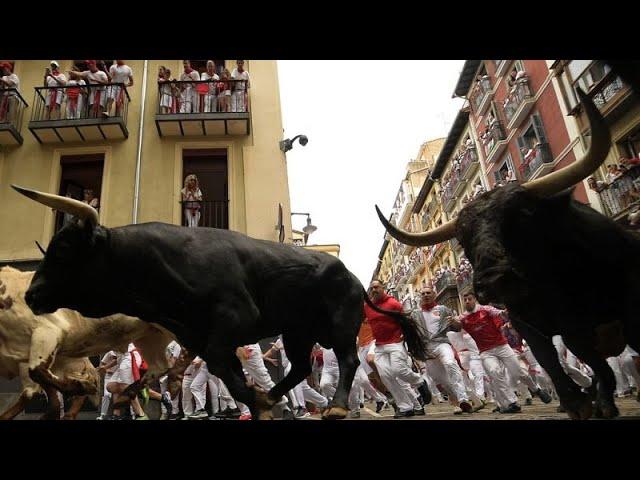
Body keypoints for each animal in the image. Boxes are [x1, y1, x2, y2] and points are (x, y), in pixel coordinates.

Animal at [7, 207, 428, 420]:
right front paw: (259, 403)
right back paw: (273, 395)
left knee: (347, 361)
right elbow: (226, 372)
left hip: (341, 324)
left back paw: (338, 407)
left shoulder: (233, 321)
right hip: (297, 331)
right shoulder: (197, 334)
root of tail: (353, 277)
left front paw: (256, 403)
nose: (32, 294)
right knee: (300, 367)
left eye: (63, 250)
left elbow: (227, 371)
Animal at [378, 87, 640, 420]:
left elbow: (590, 365)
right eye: (462, 238)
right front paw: (577, 403)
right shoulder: (531, 325)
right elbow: (555, 366)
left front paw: (595, 402)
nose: (494, 280)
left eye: (524, 214)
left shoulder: (611, 312)